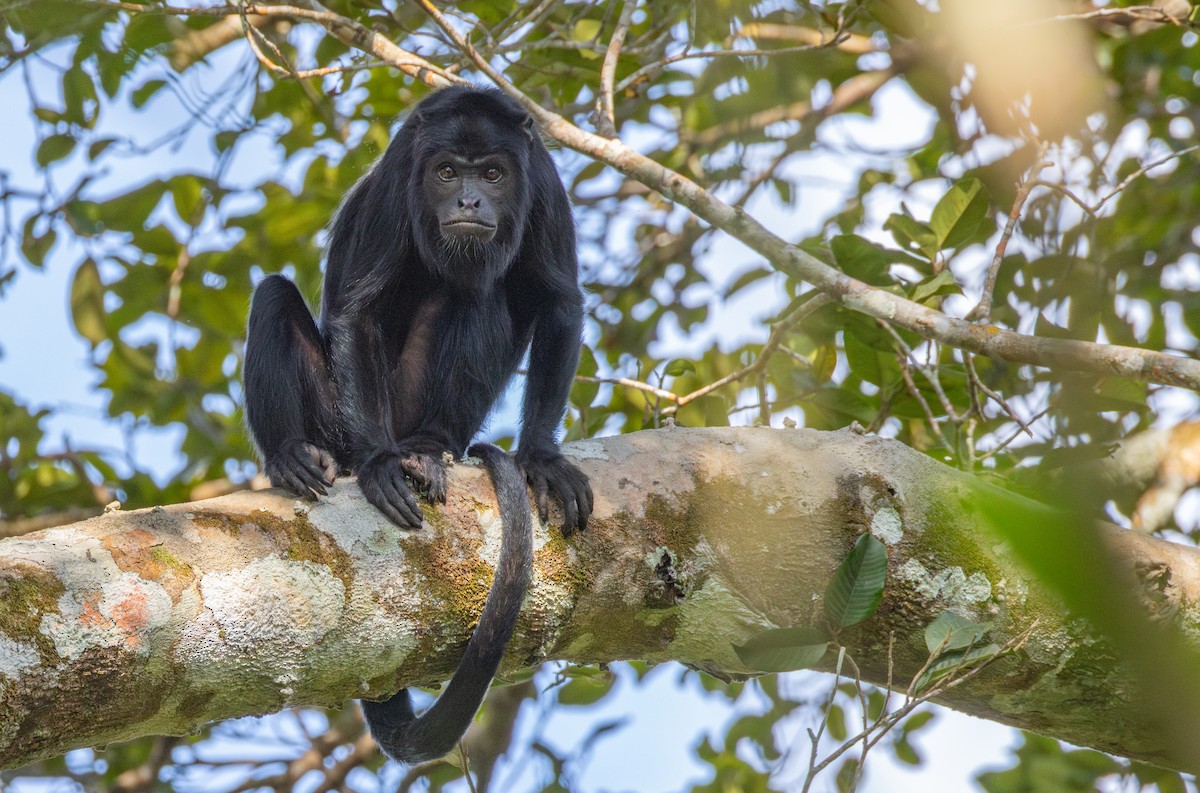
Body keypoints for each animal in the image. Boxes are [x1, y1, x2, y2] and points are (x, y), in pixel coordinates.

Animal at [241, 85, 593, 762]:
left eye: (493, 174)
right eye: (446, 172)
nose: (468, 202)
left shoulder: (543, 180)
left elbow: (561, 300)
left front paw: (541, 458)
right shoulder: (400, 172)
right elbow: (358, 309)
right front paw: (380, 467)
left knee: (477, 296)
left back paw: (428, 448)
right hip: (339, 416)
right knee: (271, 295)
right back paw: (300, 458)